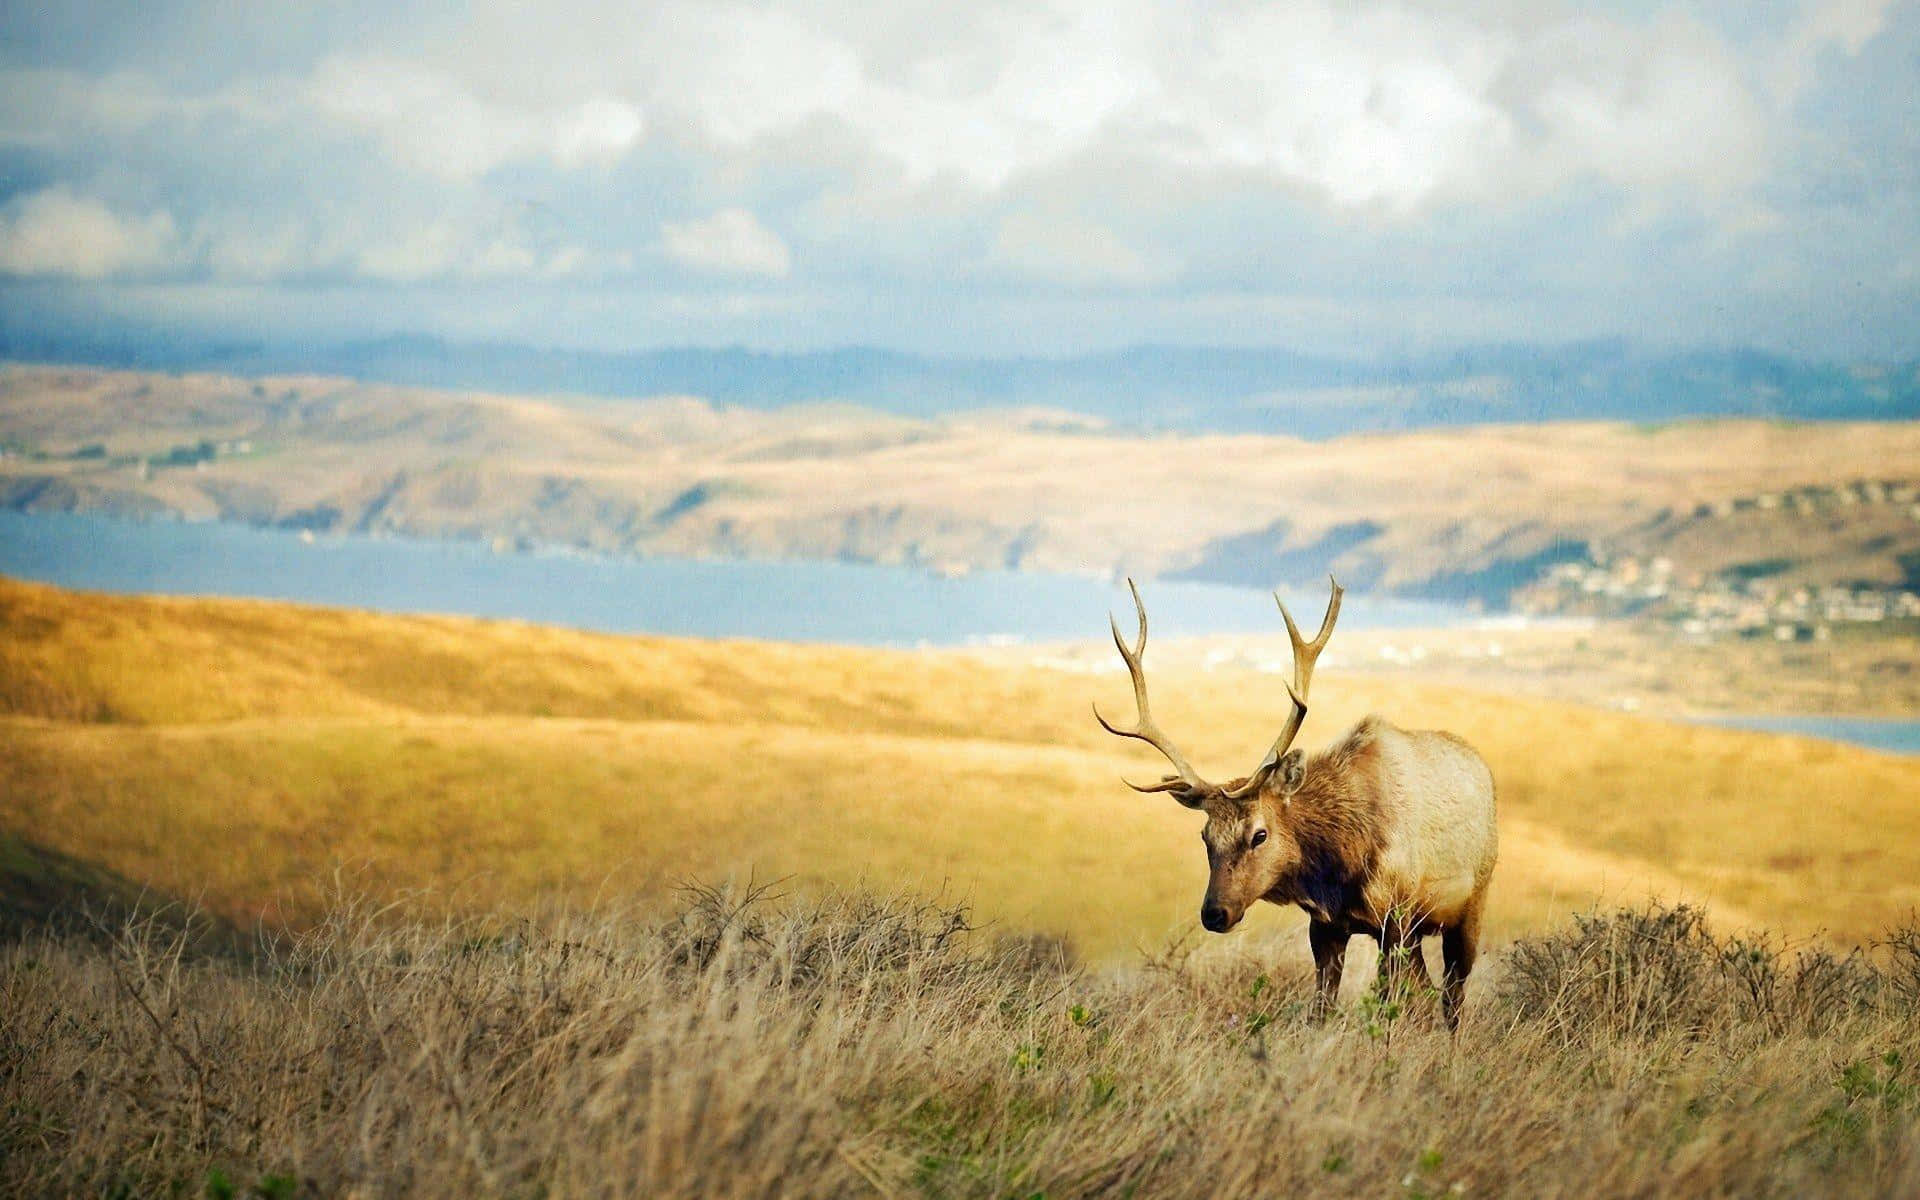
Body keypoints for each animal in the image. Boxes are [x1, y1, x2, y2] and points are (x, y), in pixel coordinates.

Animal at [1094, 577, 1497, 1028]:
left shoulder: (1396, 918)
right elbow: (1321, 1009)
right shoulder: (1325, 926)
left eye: (1259, 834)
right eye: (1205, 836)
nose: (1214, 913)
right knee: (1430, 990)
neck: (1340, 863)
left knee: (1452, 997)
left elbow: (1387, 1008)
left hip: (1471, 904)